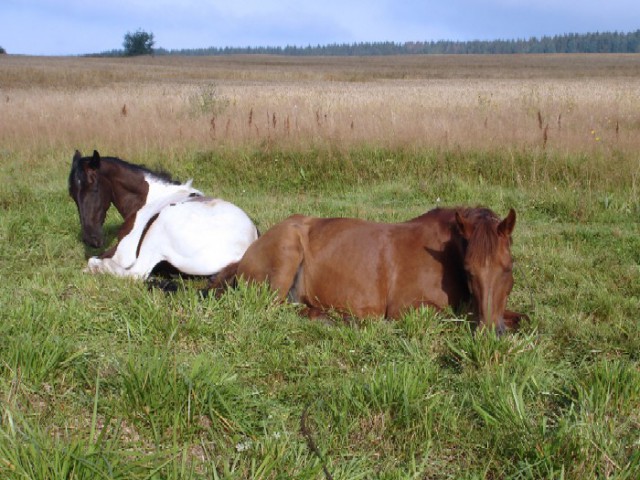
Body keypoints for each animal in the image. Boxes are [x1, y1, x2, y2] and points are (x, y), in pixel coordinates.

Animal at [69, 150, 258, 279]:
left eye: (94, 188)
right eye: (72, 194)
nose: (91, 239)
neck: (150, 199)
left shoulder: (124, 252)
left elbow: (96, 260)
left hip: (159, 229)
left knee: (136, 274)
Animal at [207, 207, 526, 333]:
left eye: (508, 268)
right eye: (469, 270)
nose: (491, 333)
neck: (444, 255)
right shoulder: (407, 309)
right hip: (287, 253)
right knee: (276, 310)